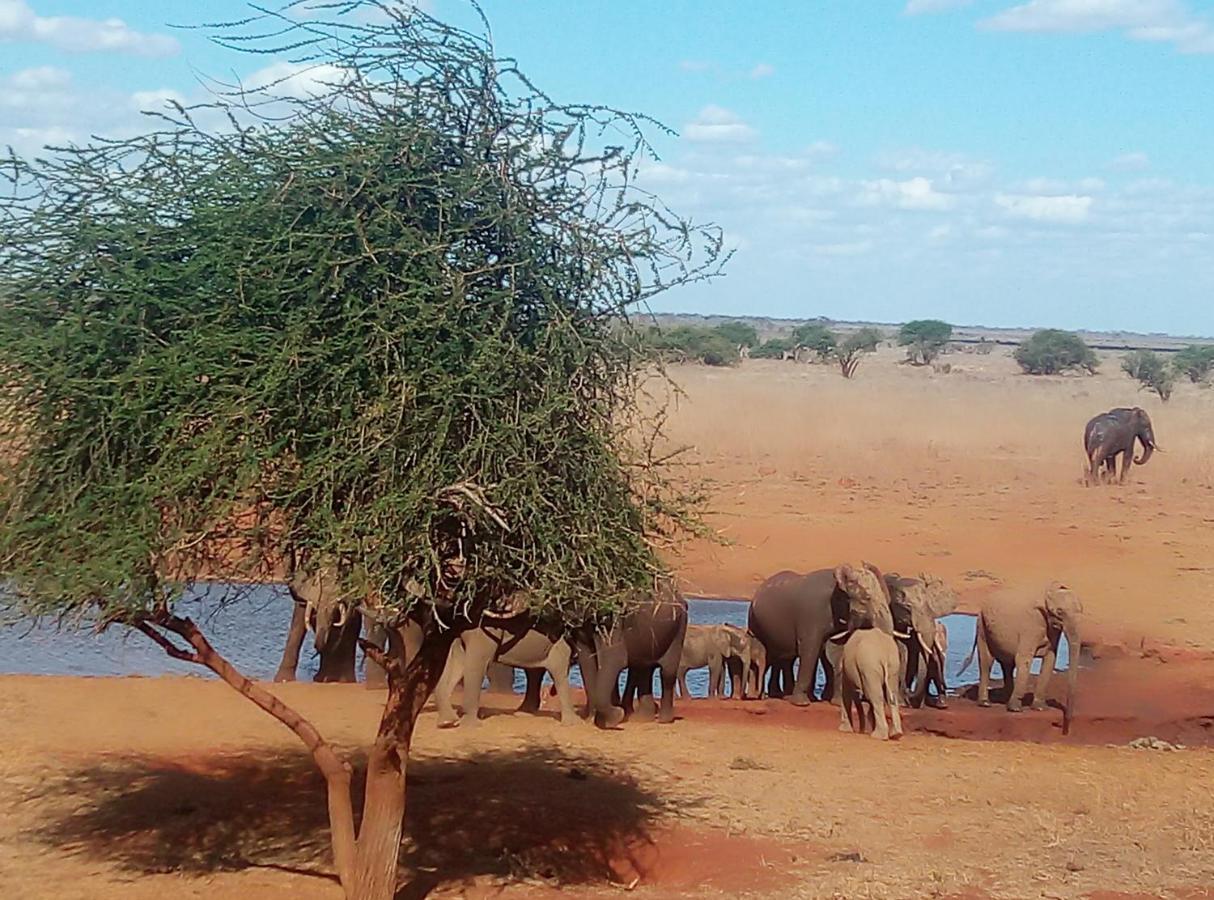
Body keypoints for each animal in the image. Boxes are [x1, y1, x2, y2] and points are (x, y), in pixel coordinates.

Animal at [434, 614, 575, 728]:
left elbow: (474, 663)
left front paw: (468, 725)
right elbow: (457, 662)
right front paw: (450, 723)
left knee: (557, 671)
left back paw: (570, 723)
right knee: (536, 671)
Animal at [575, 578, 689, 728]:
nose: (618, 711)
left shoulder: (617, 623)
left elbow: (615, 661)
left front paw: (614, 717)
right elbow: (588, 662)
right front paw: (603, 718)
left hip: (679, 626)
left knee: (667, 672)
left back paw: (663, 720)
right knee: (645, 670)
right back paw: (642, 718)